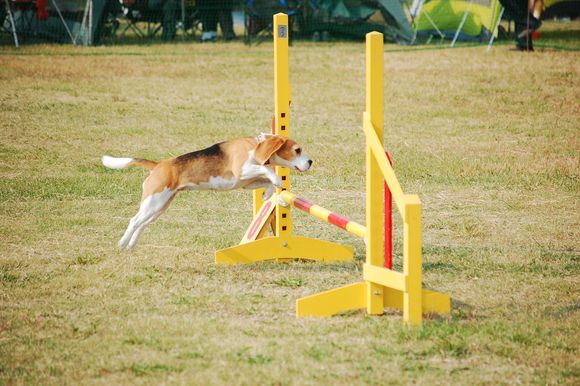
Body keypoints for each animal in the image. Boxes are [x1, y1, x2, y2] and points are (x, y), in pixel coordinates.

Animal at [104, 136, 312, 250]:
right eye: (297, 150)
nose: (310, 161)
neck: (254, 145)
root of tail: (159, 165)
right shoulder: (242, 170)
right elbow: (267, 170)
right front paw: (277, 180)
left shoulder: (245, 181)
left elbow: (265, 179)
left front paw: (269, 193)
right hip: (153, 202)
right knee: (134, 221)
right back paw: (122, 244)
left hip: (159, 206)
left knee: (142, 224)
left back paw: (131, 246)